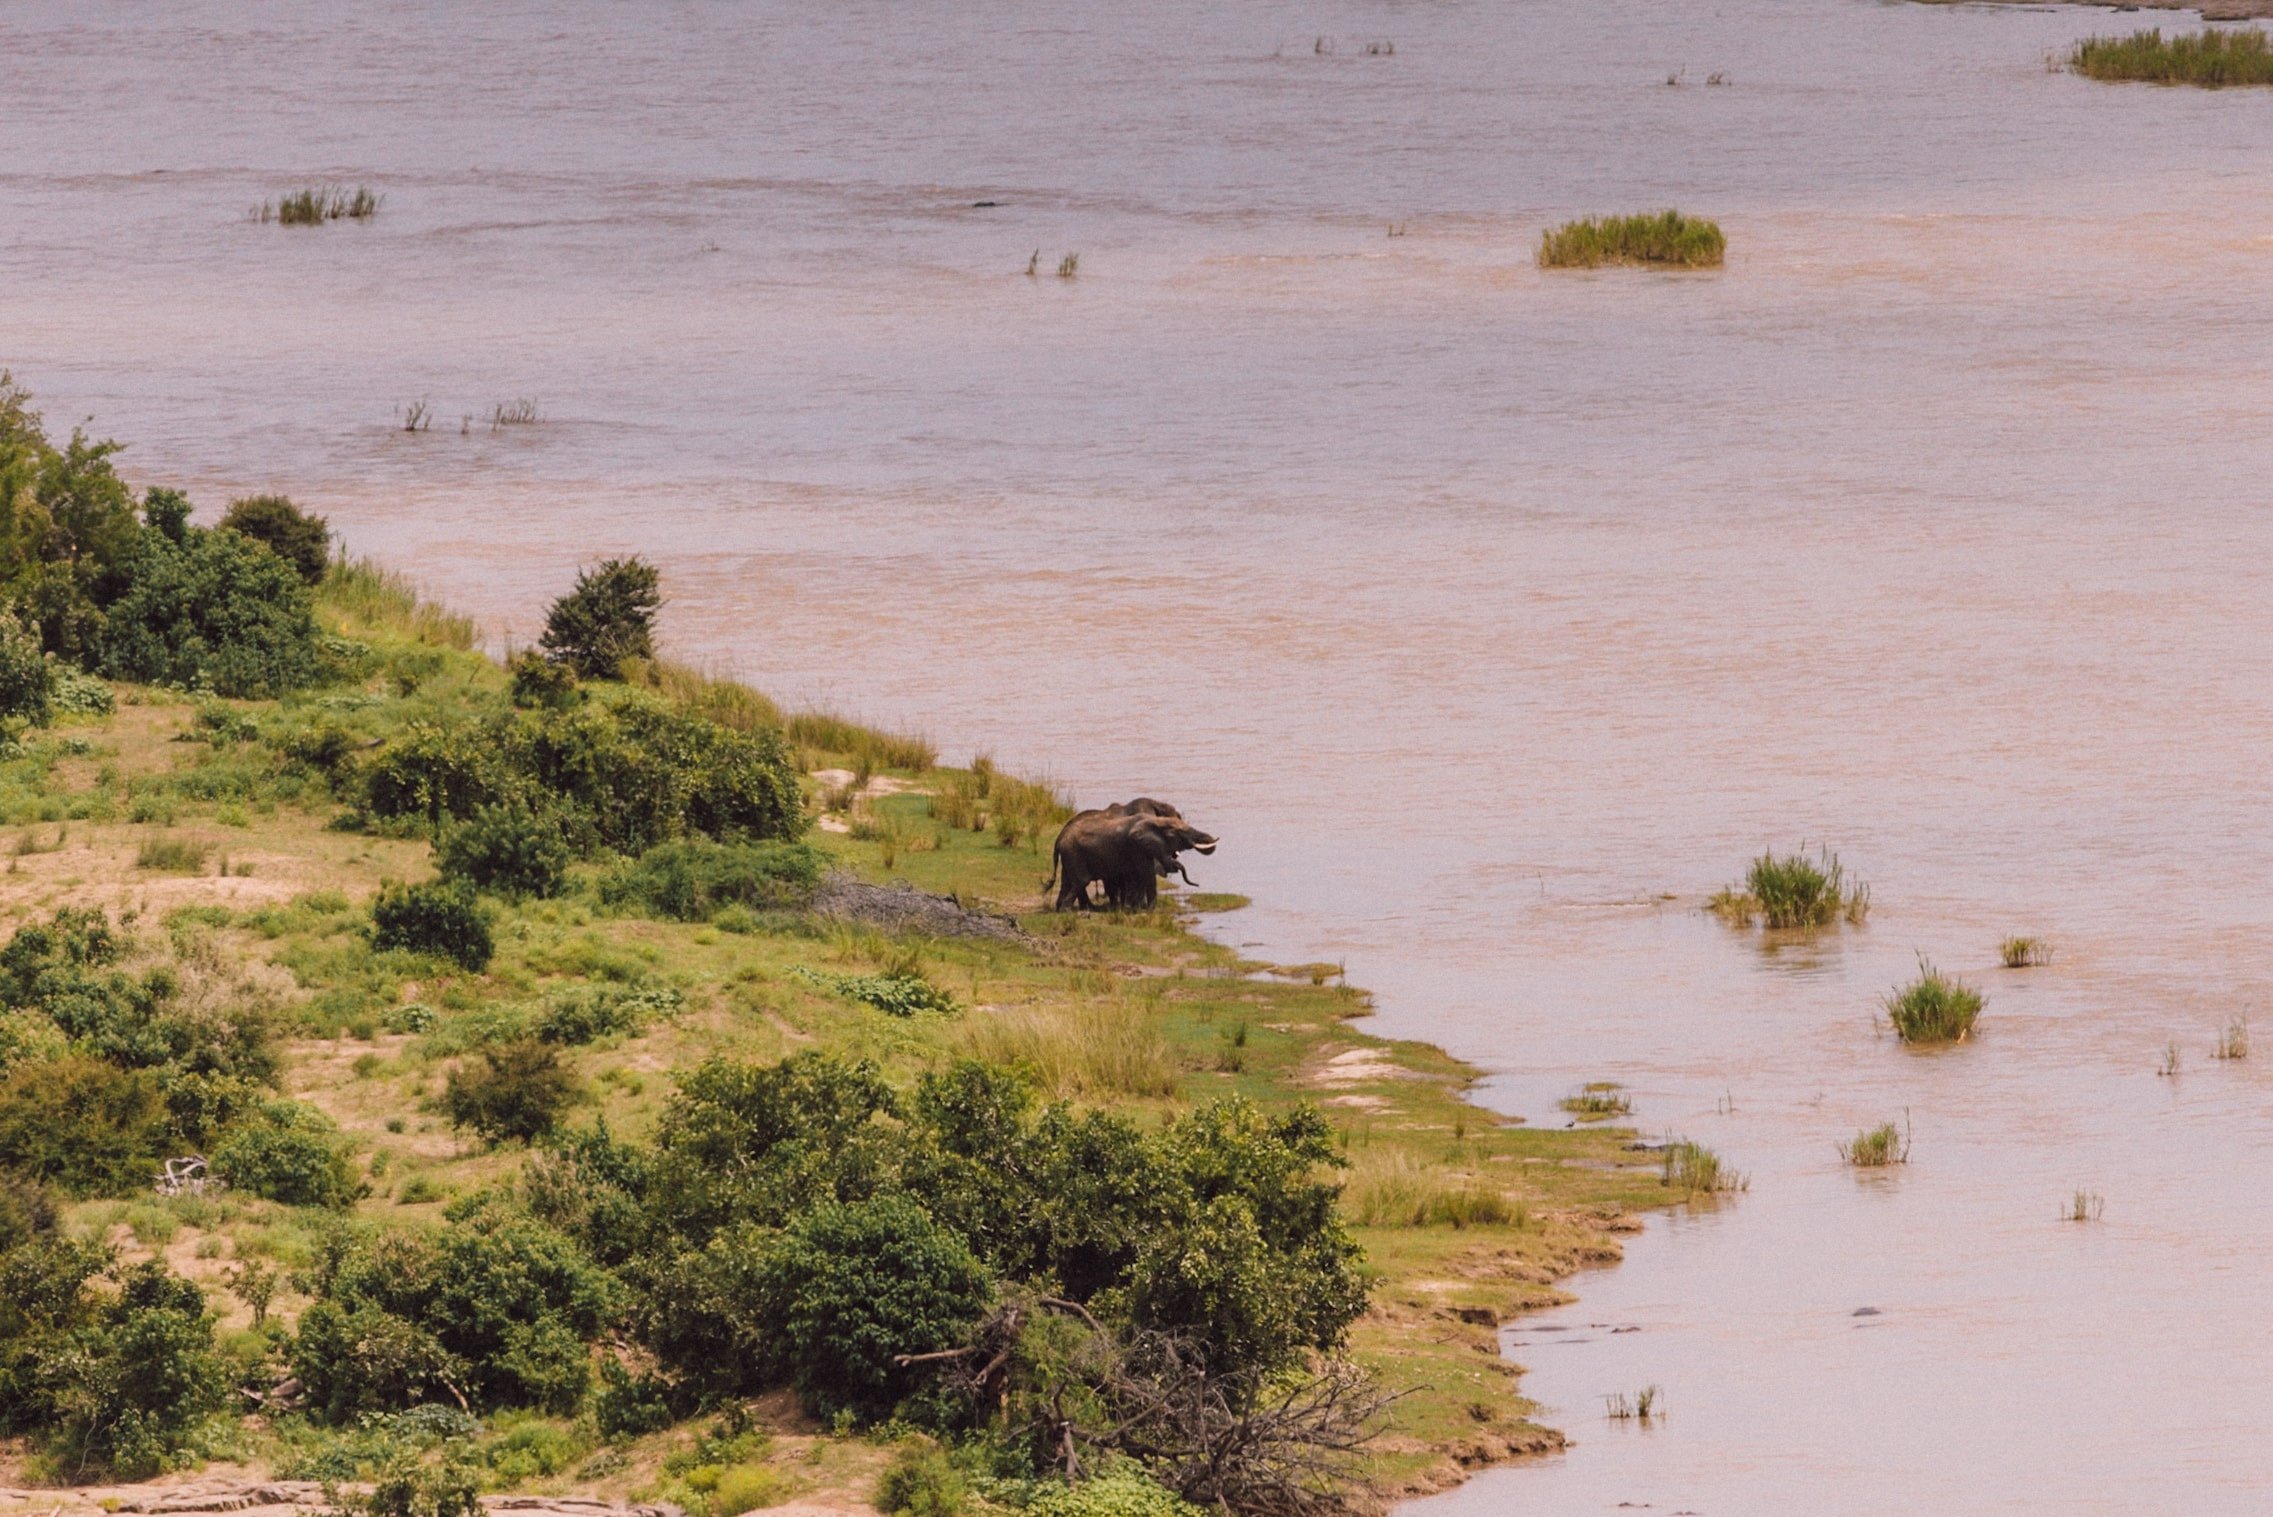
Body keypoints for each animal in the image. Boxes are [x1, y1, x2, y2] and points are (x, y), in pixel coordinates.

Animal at [1048, 804, 1218, 911]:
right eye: (1179, 834)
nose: (1197, 885)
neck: (1156, 821)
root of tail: (1059, 840)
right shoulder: (1137, 846)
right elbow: (1147, 873)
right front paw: (1149, 910)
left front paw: (1134, 908)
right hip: (1074, 854)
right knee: (1082, 881)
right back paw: (1070, 911)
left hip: (1070, 855)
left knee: (1067, 882)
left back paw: (1061, 908)